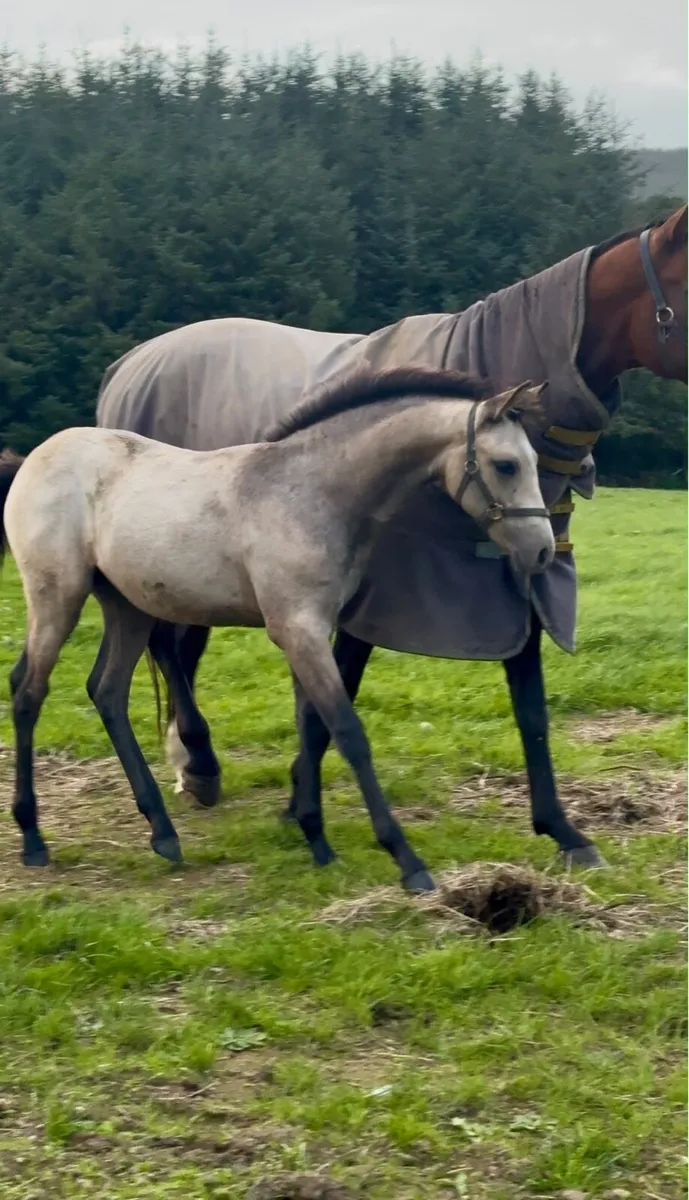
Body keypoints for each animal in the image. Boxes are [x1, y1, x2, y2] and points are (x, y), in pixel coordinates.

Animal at [0, 369, 554, 891]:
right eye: (506, 465)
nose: (543, 552)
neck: (310, 491)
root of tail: (39, 455)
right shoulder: (298, 628)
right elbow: (347, 730)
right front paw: (406, 860)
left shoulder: (311, 629)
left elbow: (311, 722)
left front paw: (315, 836)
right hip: (57, 596)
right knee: (29, 692)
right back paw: (32, 837)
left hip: (127, 607)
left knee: (107, 692)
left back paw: (162, 831)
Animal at [97, 205, 688, 870]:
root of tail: (130, 364)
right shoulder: (376, 598)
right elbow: (332, 704)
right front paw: (304, 812)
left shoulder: (516, 584)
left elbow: (531, 710)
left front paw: (565, 832)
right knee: (168, 648)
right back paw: (197, 761)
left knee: (180, 649)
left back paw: (191, 765)